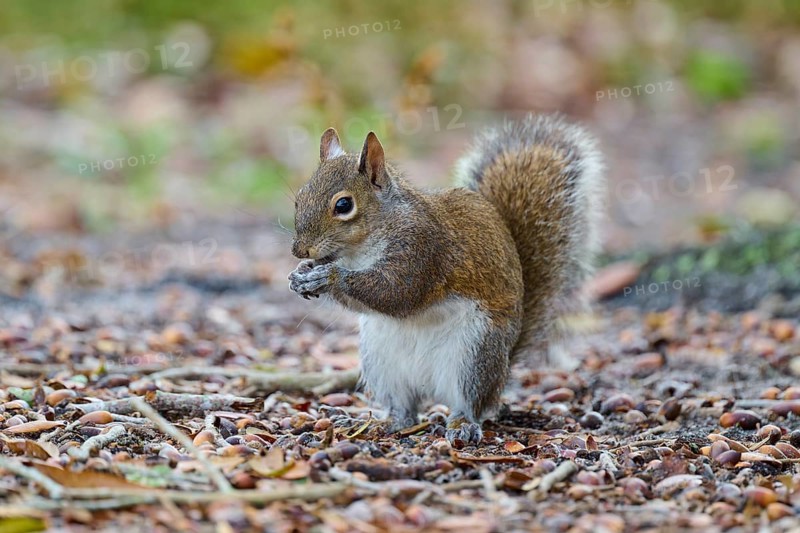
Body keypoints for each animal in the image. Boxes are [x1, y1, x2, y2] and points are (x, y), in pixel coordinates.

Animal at [289, 114, 604, 444]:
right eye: (300, 199)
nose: (299, 250)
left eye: (343, 205)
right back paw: (386, 423)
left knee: (471, 403)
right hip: (381, 361)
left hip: (475, 354)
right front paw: (300, 275)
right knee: (405, 407)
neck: (359, 249)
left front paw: (328, 276)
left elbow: (397, 292)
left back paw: (462, 423)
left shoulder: (423, 248)